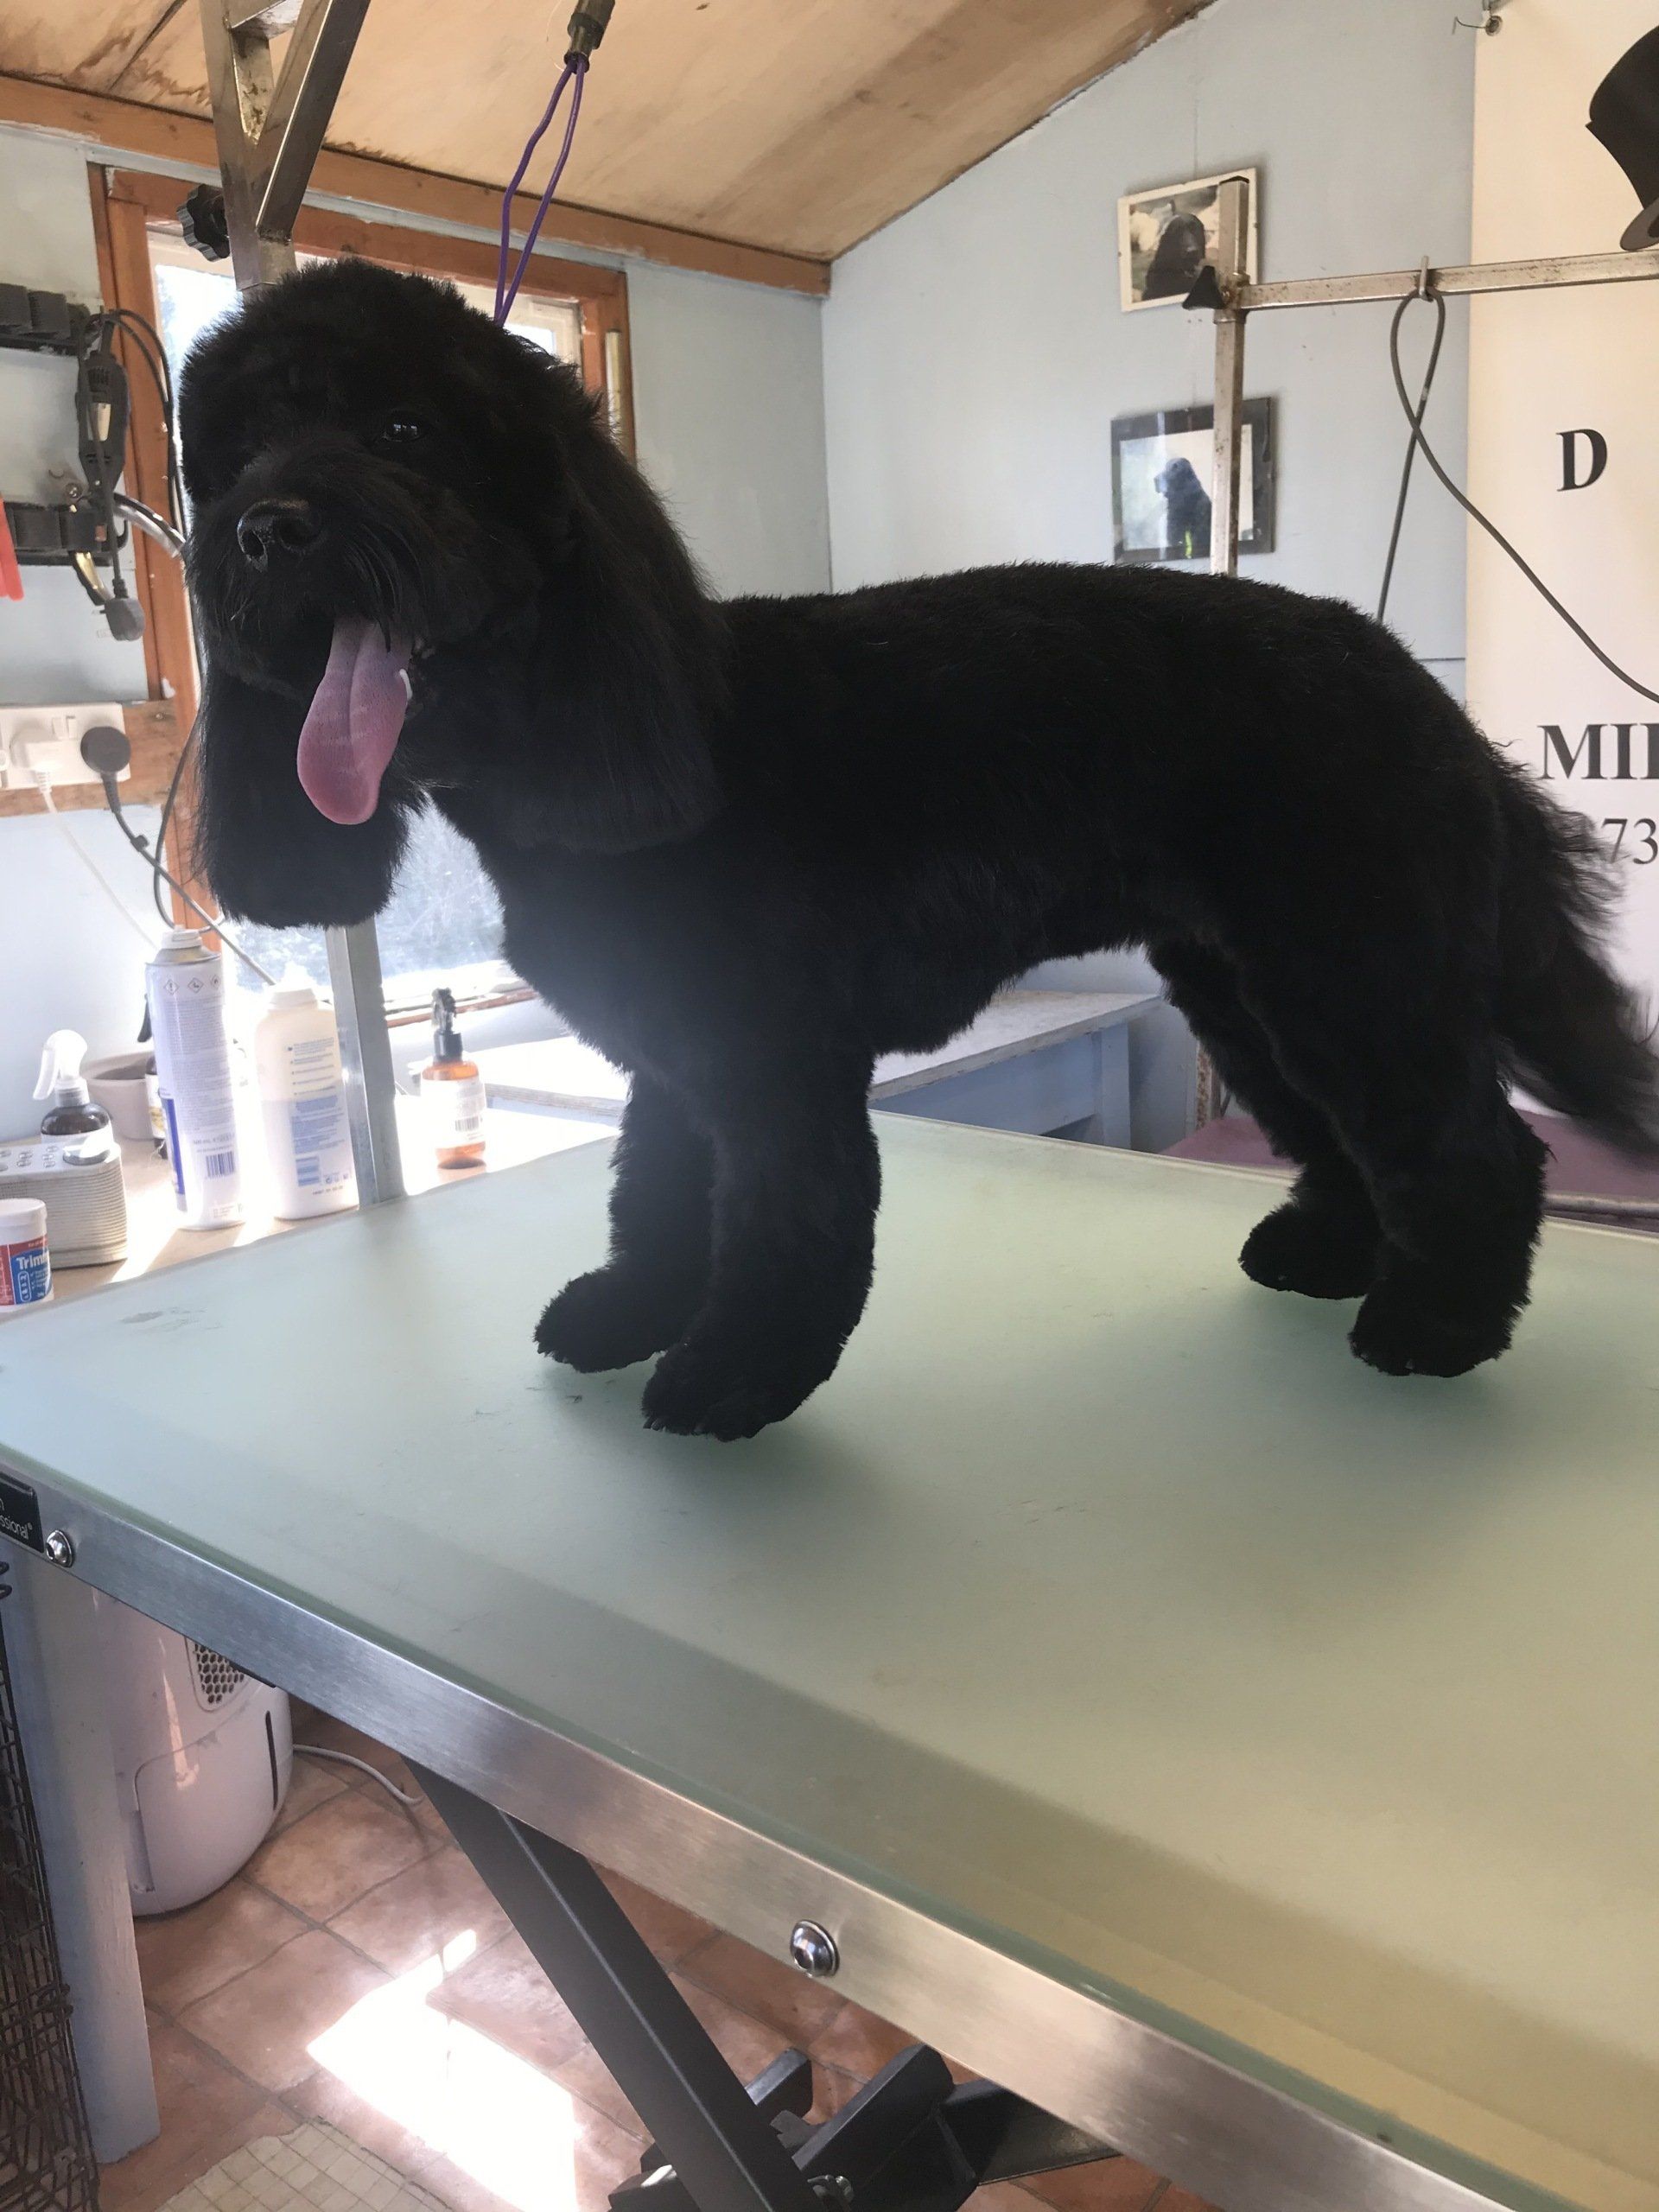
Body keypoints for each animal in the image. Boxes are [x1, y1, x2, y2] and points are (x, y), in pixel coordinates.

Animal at [180, 259, 1659, 1439]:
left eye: (404, 429)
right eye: (240, 452)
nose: (266, 529)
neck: (598, 732)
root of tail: (1423, 694)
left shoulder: (776, 1067)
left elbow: (787, 1225)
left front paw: (734, 1375)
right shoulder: (673, 1060)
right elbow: (653, 1195)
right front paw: (632, 1310)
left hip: (1355, 968)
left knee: (1474, 1147)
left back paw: (1438, 1326)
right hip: (1249, 988)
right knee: (1343, 1134)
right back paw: (1333, 1254)